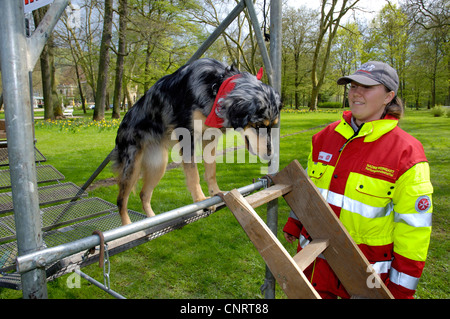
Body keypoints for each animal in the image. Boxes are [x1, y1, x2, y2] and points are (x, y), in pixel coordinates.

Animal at [111, 58, 282, 226]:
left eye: (273, 126)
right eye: (258, 126)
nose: (270, 155)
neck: (216, 86)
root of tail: (122, 124)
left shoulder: (210, 138)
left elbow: (211, 171)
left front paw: (215, 192)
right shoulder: (187, 137)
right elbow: (194, 174)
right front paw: (200, 200)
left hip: (158, 165)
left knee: (144, 194)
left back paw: (152, 220)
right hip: (132, 167)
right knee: (121, 200)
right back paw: (128, 226)